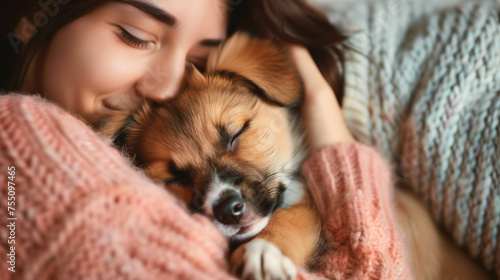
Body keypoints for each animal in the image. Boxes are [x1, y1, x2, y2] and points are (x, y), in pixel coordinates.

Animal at [100, 31, 324, 278]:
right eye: (174, 178)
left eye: (237, 132)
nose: (227, 210)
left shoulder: (304, 201)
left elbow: (289, 218)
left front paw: (264, 250)